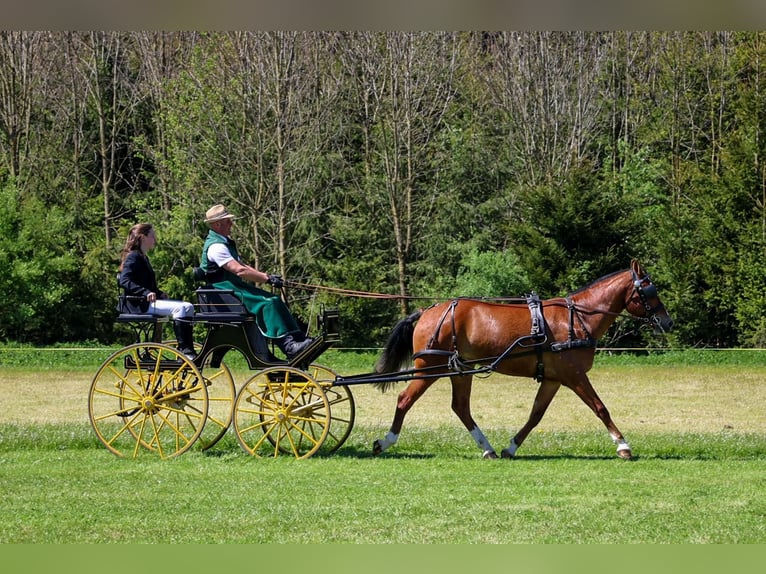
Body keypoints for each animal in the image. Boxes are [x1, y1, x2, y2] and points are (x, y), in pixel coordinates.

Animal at [376, 260, 676, 464]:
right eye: (649, 291)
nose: (668, 322)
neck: (578, 319)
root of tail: (427, 310)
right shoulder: (575, 375)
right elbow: (600, 408)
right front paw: (623, 446)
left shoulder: (554, 379)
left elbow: (535, 415)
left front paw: (511, 447)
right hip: (430, 367)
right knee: (405, 399)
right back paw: (385, 441)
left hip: (461, 368)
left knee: (460, 407)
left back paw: (487, 448)